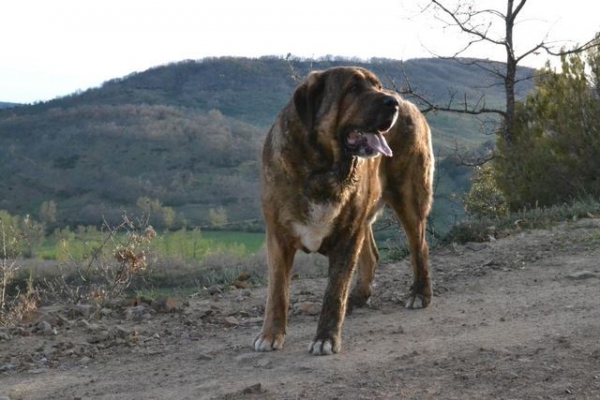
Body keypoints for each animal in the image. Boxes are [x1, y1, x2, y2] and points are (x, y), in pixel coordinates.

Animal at [255, 66, 434, 356]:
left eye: (377, 86)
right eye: (353, 88)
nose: (391, 102)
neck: (322, 169)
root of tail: (411, 105)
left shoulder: (347, 235)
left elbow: (334, 291)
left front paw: (325, 338)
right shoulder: (278, 236)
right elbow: (277, 290)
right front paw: (271, 335)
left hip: (409, 198)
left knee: (420, 246)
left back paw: (419, 294)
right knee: (371, 255)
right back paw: (359, 297)